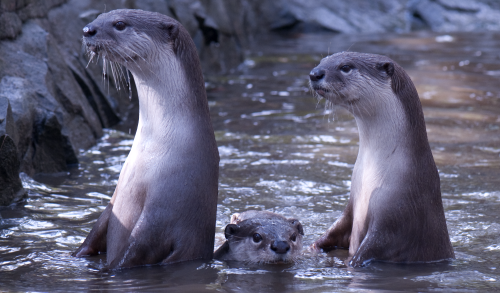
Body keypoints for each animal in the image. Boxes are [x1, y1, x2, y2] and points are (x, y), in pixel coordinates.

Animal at [71, 9, 220, 270]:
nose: (88, 29)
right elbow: (98, 227)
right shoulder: (117, 194)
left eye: (120, 24)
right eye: (100, 15)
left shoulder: (165, 207)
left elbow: (138, 246)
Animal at [306, 51, 456, 266]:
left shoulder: (396, 215)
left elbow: (374, 246)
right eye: (322, 61)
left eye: (346, 67)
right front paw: (313, 246)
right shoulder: (353, 203)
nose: (314, 73)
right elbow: (337, 228)